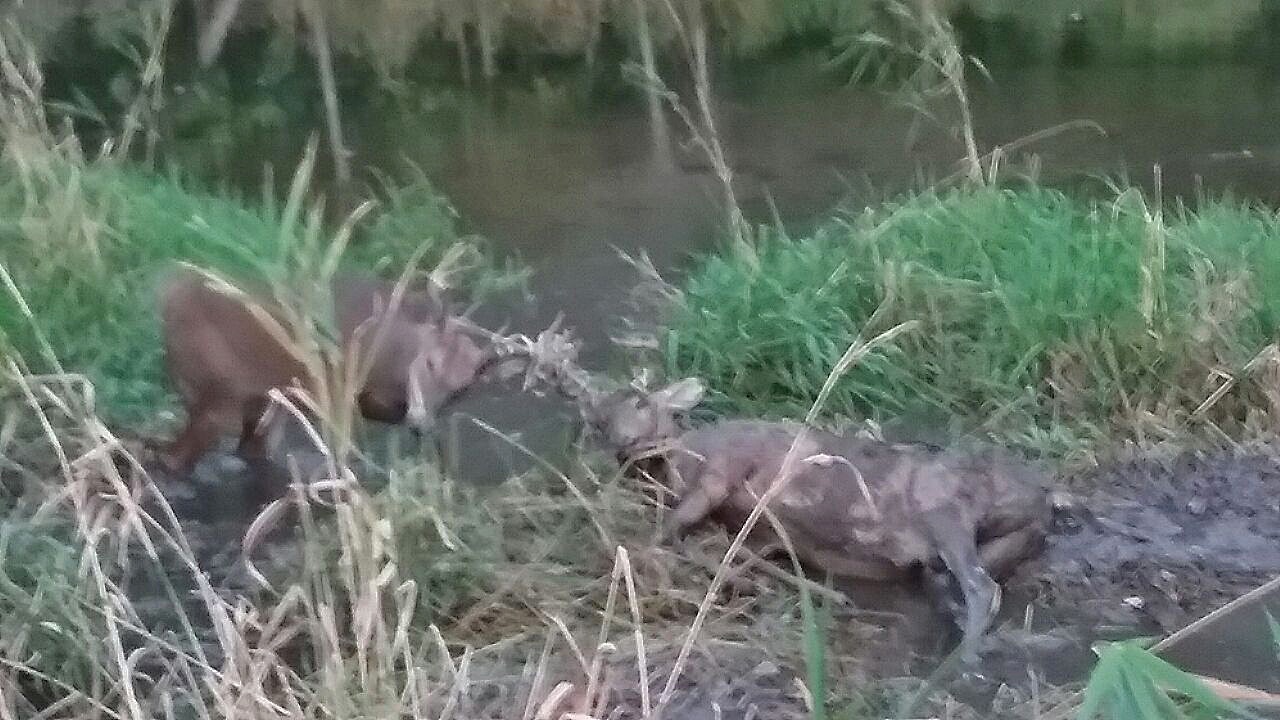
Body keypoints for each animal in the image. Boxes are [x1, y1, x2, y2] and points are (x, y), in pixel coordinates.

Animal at [156, 266, 494, 474]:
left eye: (463, 387)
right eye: (430, 362)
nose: (422, 424)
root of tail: (170, 296)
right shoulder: (338, 393)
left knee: (245, 446)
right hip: (219, 391)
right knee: (182, 453)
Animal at [496, 320, 1049, 661]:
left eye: (640, 401)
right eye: (593, 414)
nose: (622, 443)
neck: (681, 458)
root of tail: (1043, 500)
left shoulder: (726, 466)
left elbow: (671, 525)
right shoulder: (761, 531)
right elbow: (737, 551)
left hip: (943, 505)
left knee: (982, 587)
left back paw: (962, 658)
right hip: (967, 540)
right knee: (961, 582)